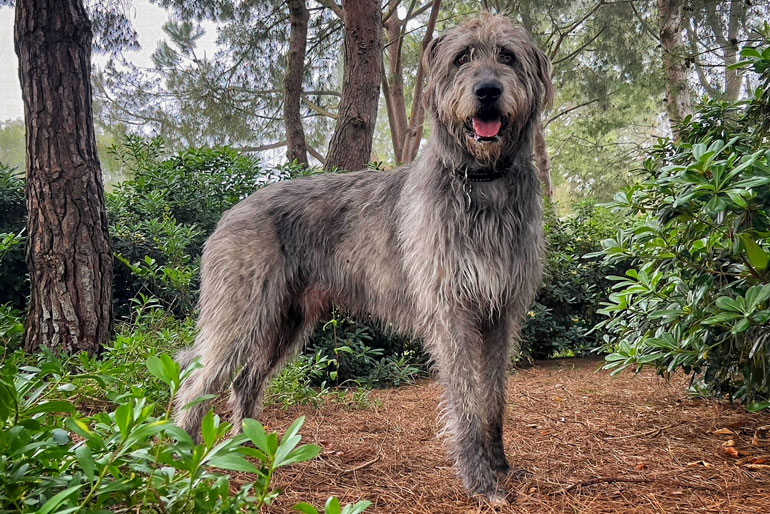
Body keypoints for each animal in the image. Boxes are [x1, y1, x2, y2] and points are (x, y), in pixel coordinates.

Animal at [176, 15, 544, 500]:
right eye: (462, 57)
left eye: (507, 56)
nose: (487, 91)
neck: (481, 180)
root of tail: (231, 212)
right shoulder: (452, 312)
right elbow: (466, 399)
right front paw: (479, 480)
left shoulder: (501, 311)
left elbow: (495, 395)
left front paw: (500, 464)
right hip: (239, 314)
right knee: (197, 382)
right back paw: (180, 456)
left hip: (286, 320)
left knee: (245, 380)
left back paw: (248, 448)